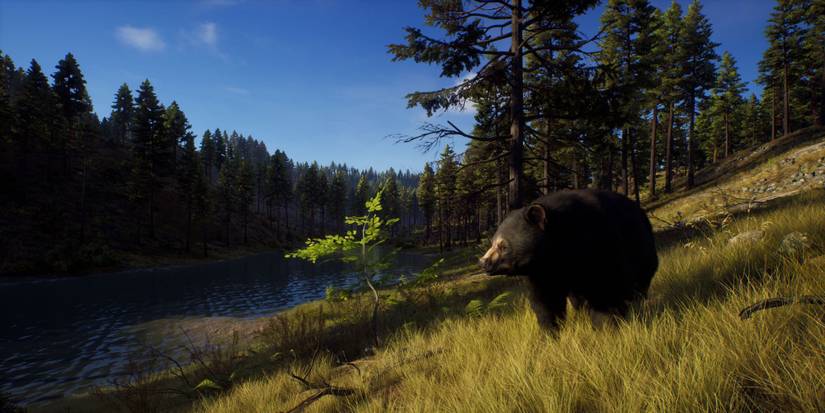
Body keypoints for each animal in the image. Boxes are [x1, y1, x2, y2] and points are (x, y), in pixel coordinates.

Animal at [478, 188, 658, 330]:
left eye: (503, 246)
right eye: (493, 242)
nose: (483, 262)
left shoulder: (601, 246)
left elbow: (606, 290)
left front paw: (605, 327)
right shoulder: (542, 272)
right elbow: (546, 301)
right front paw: (549, 333)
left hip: (643, 252)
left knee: (639, 284)